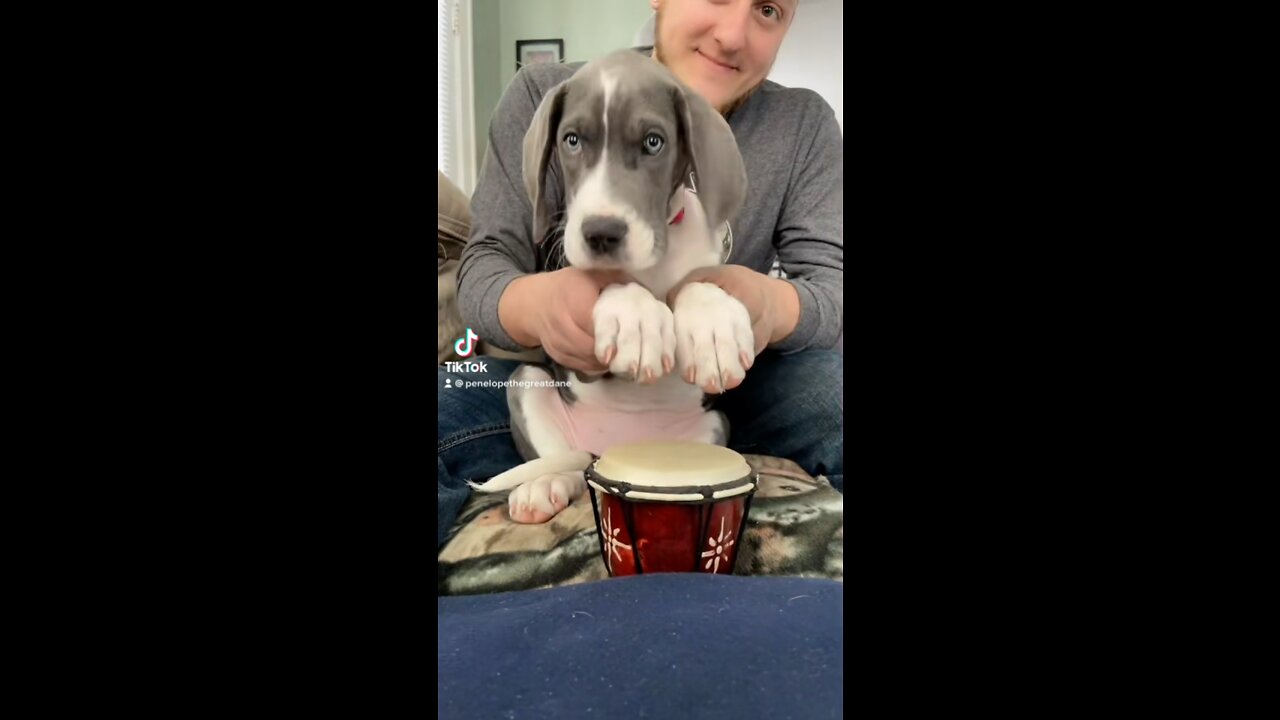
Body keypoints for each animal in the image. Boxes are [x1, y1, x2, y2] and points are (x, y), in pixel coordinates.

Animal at [471, 50, 752, 520]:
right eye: (571, 140)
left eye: (654, 142)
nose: (601, 233)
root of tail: (611, 450)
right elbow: (610, 283)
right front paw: (634, 319)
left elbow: (694, 283)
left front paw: (713, 325)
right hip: (527, 385)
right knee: (562, 460)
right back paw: (544, 485)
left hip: (715, 424)